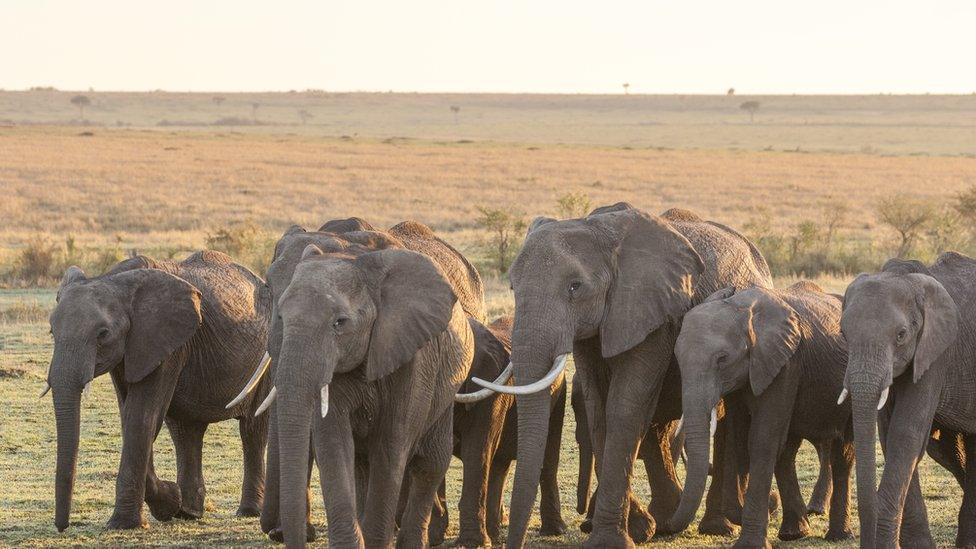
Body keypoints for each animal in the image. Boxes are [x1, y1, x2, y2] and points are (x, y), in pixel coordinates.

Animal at [42, 252, 270, 532]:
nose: (63, 526)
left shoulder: (166, 343)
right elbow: (130, 416)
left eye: (103, 334)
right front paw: (170, 502)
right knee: (186, 431)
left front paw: (126, 523)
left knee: (252, 430)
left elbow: (141, 417)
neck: (114, 280)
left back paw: (247, 512)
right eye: (52, 332)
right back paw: (189, 512)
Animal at [226, 217, 492, 540]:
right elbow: (332, 441)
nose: (275, 532)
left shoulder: (411, 353)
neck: (346, 242)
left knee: (428, 459)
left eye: (340, 323)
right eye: (267, 288)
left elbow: (391, 444)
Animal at [468, 203, 772, 544]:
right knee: (656, 428)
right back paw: (664, 520)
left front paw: (611, 540)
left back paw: (715, 526)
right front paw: (636, 529)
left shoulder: (651, 314)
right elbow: (600, 409)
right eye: (512, 287)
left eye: (575, 287)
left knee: (721, 419)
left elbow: (623, 408)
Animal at [672, 282, 856, 548]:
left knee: (842, 452)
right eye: (677, 359)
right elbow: (740, 440)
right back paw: (794, 532)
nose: (773, 501)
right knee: (788, 452)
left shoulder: (785, 363)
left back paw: (839, 535)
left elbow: (762, 441)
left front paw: (750, 542)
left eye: (722, 359)